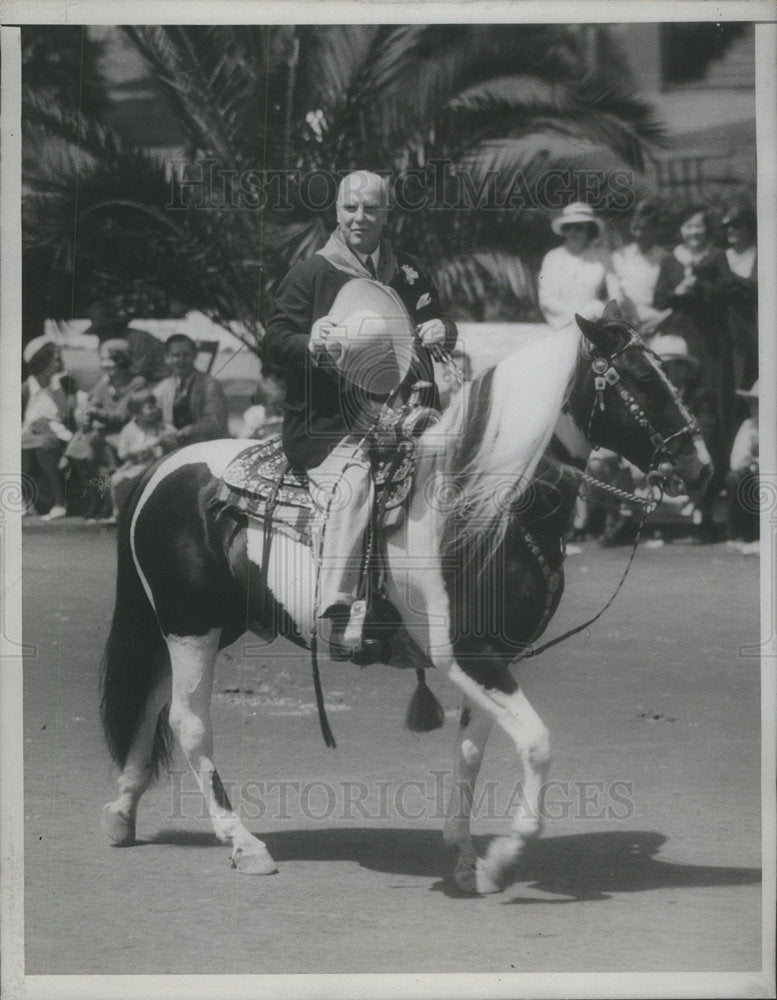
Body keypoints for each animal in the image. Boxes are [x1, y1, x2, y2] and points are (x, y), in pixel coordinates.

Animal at [98, 308, 708, 896]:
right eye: (641, 380)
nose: (701, 466)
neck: (482, 505)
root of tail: (163, 468)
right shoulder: (465, 652)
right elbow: (536, 744)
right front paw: (502, 859)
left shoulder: (493, 655)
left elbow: (471, 749)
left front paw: (465, 857)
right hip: (190, 624)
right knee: (188, 721)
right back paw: (242, 842)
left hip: (204, 624)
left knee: (152, 700)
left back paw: (123, 812)